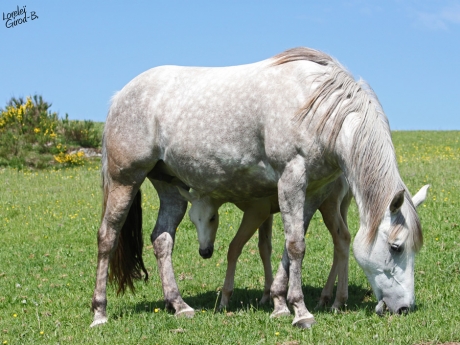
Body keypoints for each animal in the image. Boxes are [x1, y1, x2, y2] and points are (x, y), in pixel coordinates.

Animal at [90, 47, 428, 326]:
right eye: (396, 247)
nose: (404, 308)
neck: (317, 107)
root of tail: (120, 96)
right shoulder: (291, 178)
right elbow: (296, 246)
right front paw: (300, 312)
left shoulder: (311, 191)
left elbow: (291, 244)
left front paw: (280, 301)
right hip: (125, 180)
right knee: (107, 237)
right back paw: (100, 312)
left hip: (169, 187)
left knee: (162, 240)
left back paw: (179, 305)